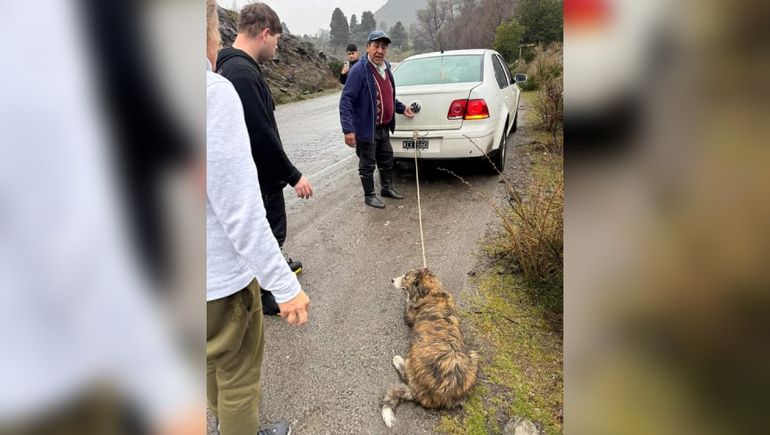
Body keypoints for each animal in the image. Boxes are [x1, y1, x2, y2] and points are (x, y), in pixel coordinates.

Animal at [380, 270, 476, 430]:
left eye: (406, 277)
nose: (392, 280)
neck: (433, 292)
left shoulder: (409, 315)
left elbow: (407, 306)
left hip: (413, 357)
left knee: (405, 373)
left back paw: (398, 359)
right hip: (474, 357)